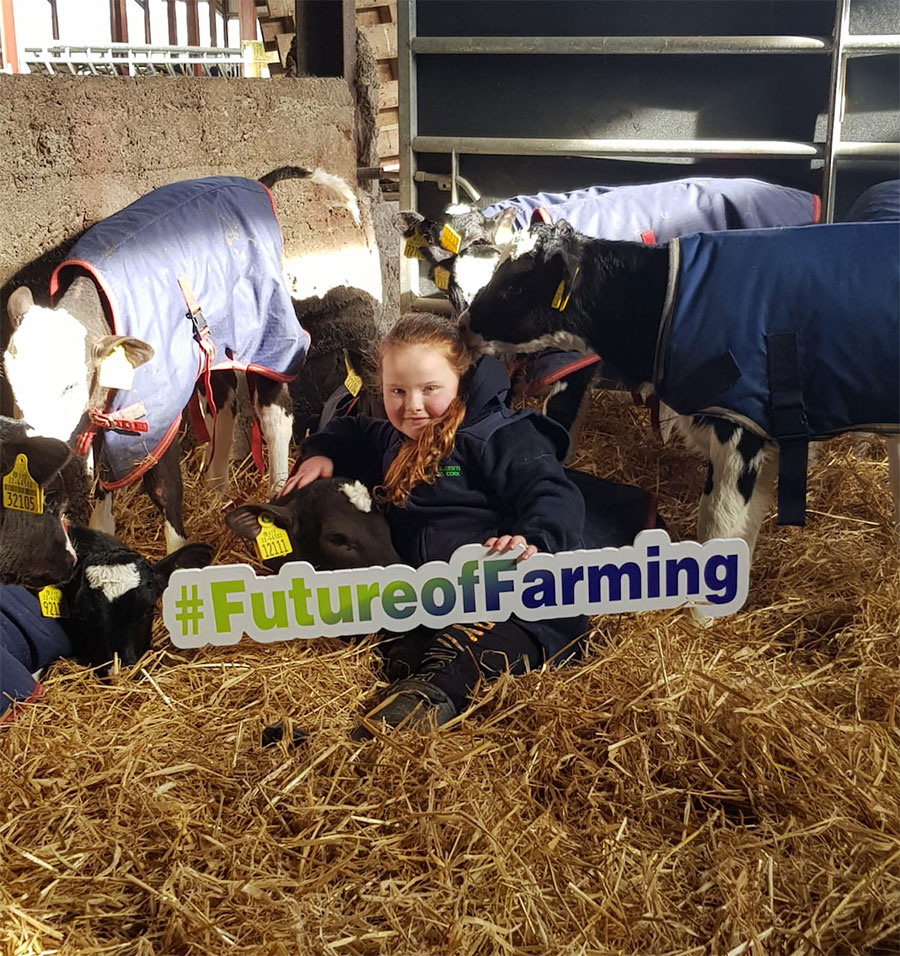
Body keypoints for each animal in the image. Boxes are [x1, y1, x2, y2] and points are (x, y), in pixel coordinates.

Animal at [4, 165, 362, 552]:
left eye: (69, 385)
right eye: (12, 384)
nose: (33, 446)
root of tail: (254, 183)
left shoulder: (158, 414)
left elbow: (163, 487)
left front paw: (178, 554)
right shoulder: (105, 409)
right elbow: (105, 473)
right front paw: (103, 531)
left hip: (268, 321)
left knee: (273, 409)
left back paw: (277, 490)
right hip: (217, 339)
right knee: (223, 399)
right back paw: (217, 487)